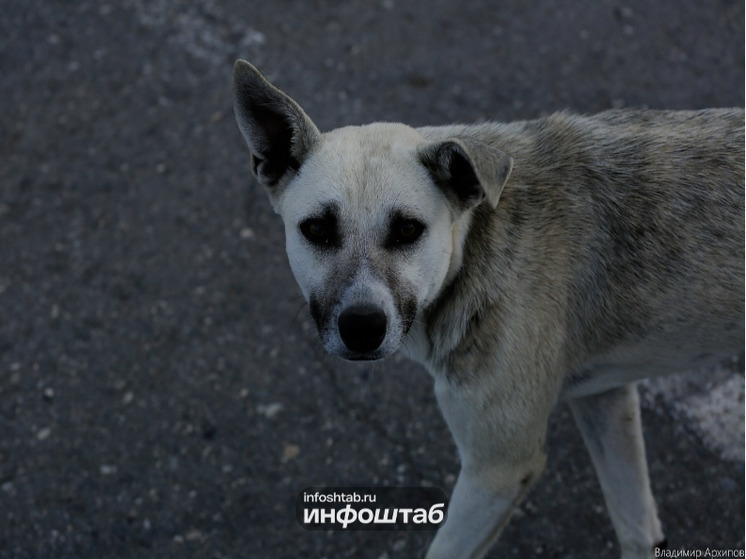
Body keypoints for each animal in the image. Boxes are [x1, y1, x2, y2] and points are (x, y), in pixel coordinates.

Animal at [230, 61, 740, 559]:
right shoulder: (605, 399)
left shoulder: (498, 471)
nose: (362, 327)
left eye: (408, 229)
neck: (474, 242)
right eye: (317, 229)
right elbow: (637, 528)